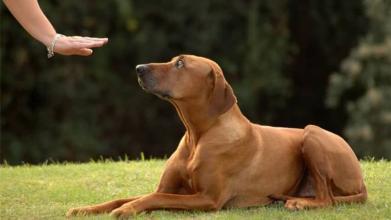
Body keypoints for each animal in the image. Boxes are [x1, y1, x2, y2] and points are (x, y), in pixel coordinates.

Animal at [66, 54, 368, 218]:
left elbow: (153, 198)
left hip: (312, 134)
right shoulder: (169, 187)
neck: (197, 135)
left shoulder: (208, 199)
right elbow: (125, 197)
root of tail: (361, 181)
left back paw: (300, 203)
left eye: (179, 64)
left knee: (328, 199)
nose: (139, 68)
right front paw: (85, 209)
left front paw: (128, 210)